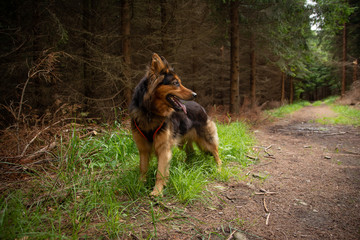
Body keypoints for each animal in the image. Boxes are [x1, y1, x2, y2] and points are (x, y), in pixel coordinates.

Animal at [128, 53, 221, 196]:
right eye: (176, 83)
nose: (195, 94)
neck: (151, 112)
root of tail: (201, 107)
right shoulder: (143, 148)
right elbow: (143, 168)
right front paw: (139, 185)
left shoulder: (164, 148)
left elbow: (160, 172)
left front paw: (157, 191)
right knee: (191, 153)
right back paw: (187, 165)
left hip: (207, 140)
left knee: (217, 154)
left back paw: (219, 170)